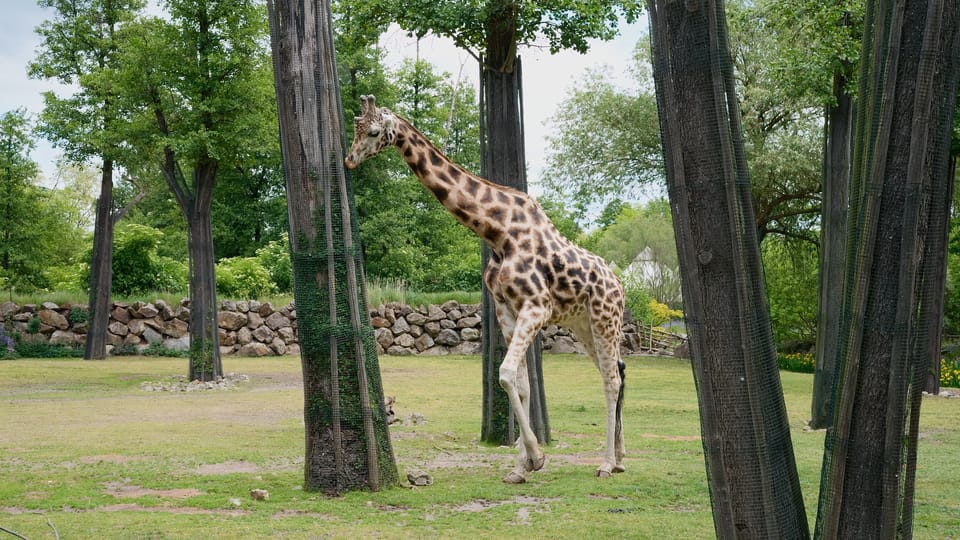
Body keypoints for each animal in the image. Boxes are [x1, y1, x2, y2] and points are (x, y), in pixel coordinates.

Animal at [345, 95, 626, 484]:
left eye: (373, 131)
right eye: (355, 127)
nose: (349, 159)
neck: (497, 232)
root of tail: (621, 285)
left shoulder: (536, 306)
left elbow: (505, 374)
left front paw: (536, 456)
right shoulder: (506, 307)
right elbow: (519, 383)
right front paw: (521, 466)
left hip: (605, 319)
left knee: (612, 379)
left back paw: (606, 463)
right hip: (582, 325)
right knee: (615, 372)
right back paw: (620, 458)